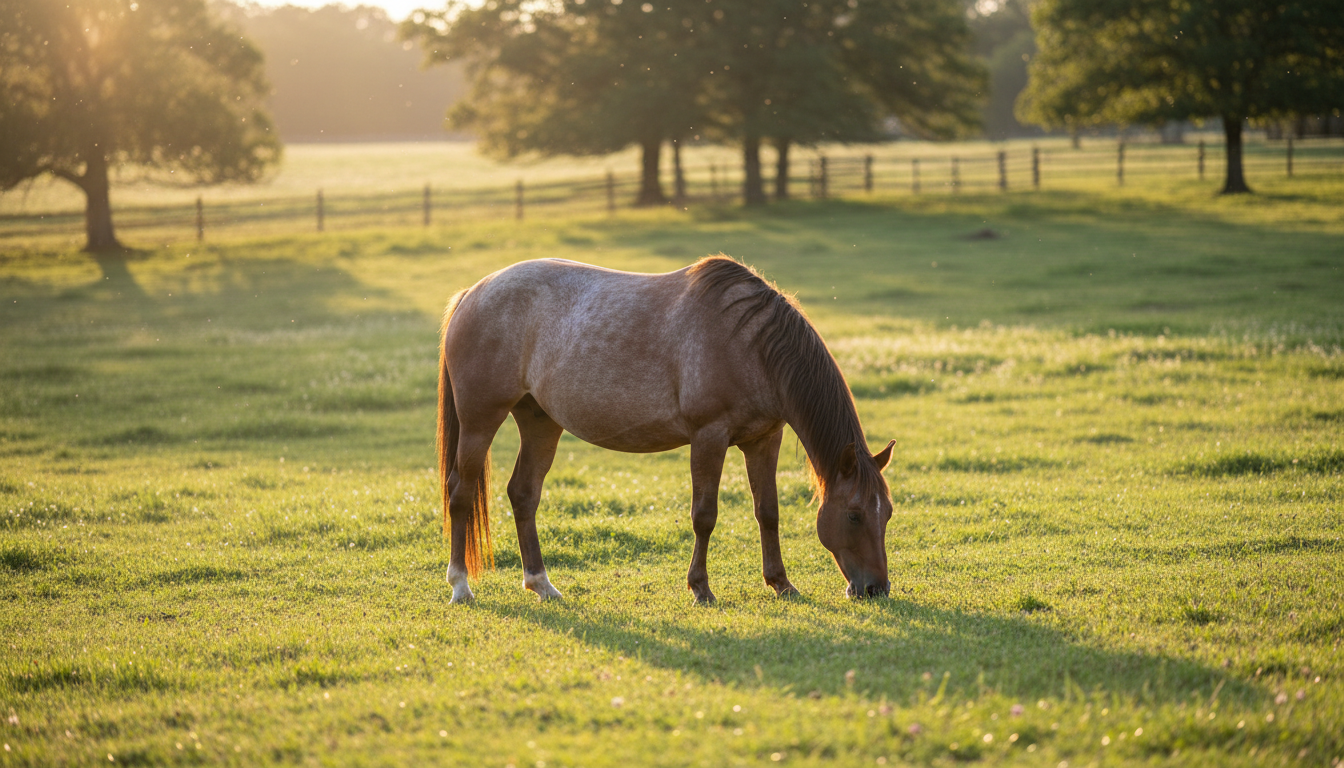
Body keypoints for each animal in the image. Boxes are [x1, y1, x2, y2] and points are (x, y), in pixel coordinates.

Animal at [437, 255, 895, 604]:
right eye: (854, 515)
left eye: (887, 513)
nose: (876, 588)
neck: (749, 343)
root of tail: (471, 294)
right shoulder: (709, 437)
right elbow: (704, 516)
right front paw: (701, 589)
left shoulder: (764, 439)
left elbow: (768, 512)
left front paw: (781, 583)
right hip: (480, 421)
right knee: (461, 492)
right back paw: (461, 586)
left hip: (540, 423)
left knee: (524, 494)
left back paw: (541, 584)